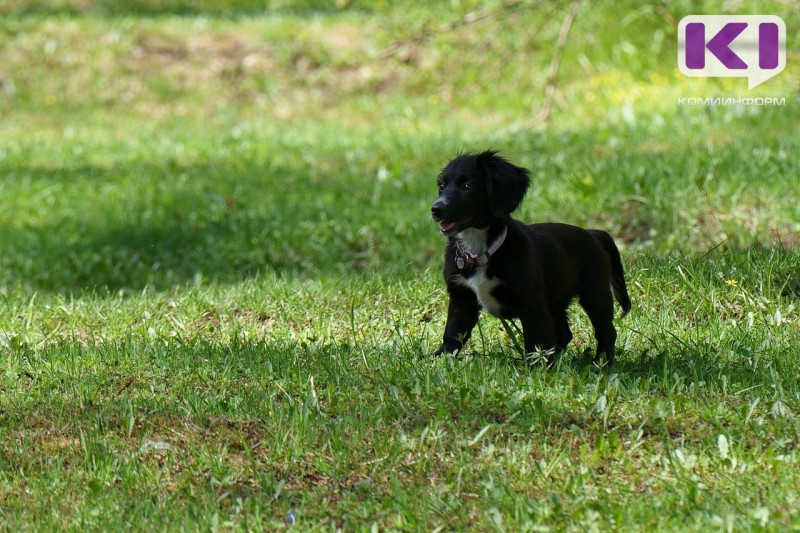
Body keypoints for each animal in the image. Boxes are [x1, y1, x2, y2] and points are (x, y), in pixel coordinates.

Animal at [432, 150, 632, 366]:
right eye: (441, 185)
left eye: (468, 187)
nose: (436, 209)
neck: (481, 250)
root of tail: (593, 233)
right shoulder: (462, 298)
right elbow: (453, 334)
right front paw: (437, 359)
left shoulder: (531, 302)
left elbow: (536, 341)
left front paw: (534, 370)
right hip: (556, 299)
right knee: (564, 333)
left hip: (595, 294)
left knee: (606, 331)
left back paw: (601, 363)